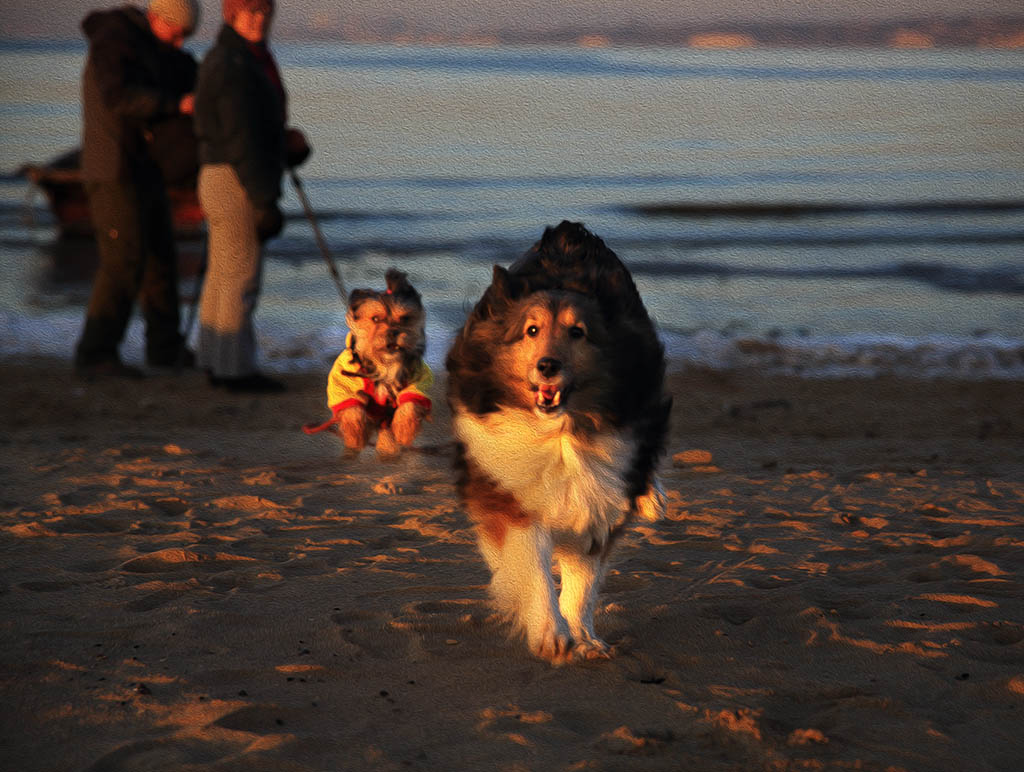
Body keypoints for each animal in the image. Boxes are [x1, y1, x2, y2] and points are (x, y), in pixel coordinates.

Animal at [303, 268, 432, 454]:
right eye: (376, 319)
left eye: (405, 319)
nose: (393, 332)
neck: (384, 361)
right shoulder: (344, 381)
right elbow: (352, 408)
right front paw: (355, 437)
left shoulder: (418, 379)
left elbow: (411, 403)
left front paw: (404, 430)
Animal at [444, 221, 667, 663]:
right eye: (531, 330)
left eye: (577, 333)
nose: (548, 365)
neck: (560, 434)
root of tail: (569, 231)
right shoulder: (510, 493)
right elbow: (532, 564)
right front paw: (551, 632)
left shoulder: (599, 499)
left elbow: (582, 584)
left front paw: (583, 637)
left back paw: (652, 497)